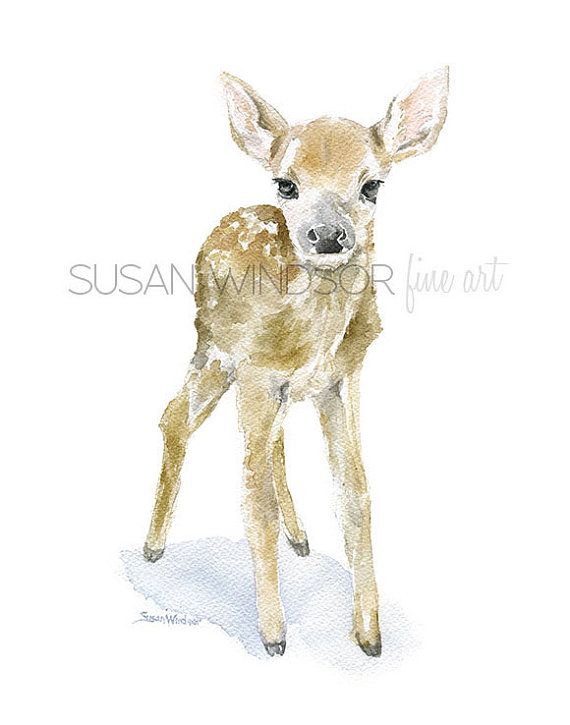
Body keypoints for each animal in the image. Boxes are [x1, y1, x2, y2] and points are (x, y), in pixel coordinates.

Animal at [143, 68, 449, 657]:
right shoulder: (257, 373)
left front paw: (370, 635)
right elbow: (252, 499)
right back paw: (152, 547)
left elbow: (355, 492)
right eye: (286, 184)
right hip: (214, 351)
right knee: (174, 417)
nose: (327, 235)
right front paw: (274, 636)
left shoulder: (341, 380)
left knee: (271, 445)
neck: (311, 339)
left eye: (372, 185)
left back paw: (301, 537)